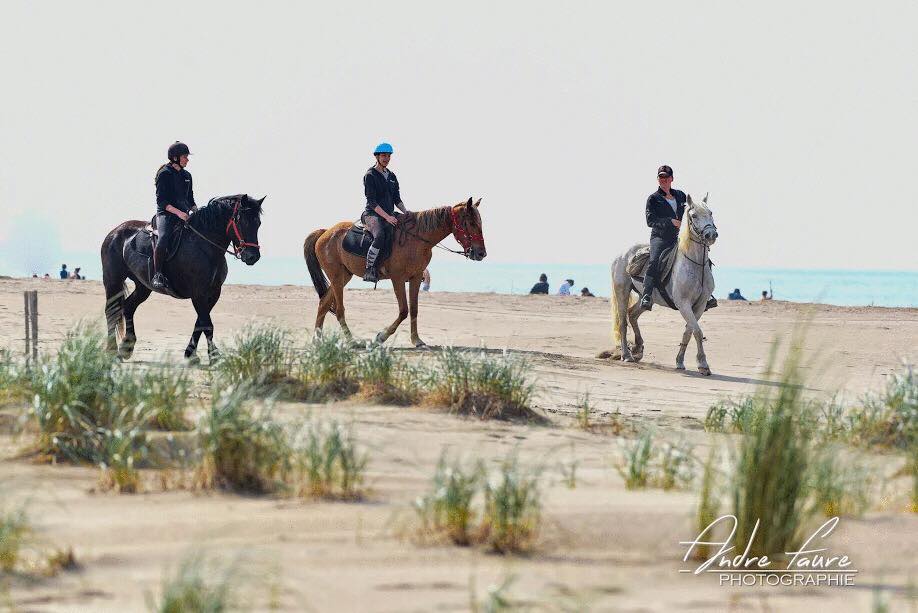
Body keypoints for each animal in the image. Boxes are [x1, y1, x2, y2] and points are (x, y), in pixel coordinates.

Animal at [102, 194, 264, 360]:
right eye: (242, 222)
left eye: (258, 223)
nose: (253, 257)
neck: (204, 247)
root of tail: (115, 232)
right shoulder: (198, 293)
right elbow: (207, 324)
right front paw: (213, 356)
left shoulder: (213, 292)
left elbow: (200, 323)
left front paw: (191, 354)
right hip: (113, 280)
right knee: (112, 311)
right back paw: (111, 350)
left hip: (143, 286)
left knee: (128, 307)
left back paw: (126, 347)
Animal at [304, 198, 488, 346]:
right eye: (471, 223)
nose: (481, 253)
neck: (416, 239)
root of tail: (325, 232)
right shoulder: (398, 279)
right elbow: (404, 310)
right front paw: (381, 337)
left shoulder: (415, 277)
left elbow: (414, 309)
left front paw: (416, 340)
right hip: (336, 277)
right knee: (339, 309)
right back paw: (351, 341)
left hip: (343, 276)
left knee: (324, 303)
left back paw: (317, 340)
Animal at [612, 196, 720, 376]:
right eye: (694, 215)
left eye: (711, 212)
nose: (710, 234)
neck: (694, 264)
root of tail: (622, 254)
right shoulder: (683, 304)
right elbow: (697, 332)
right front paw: (703, 364)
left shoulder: (700, 305)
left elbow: (688, 332)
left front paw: (680, 361)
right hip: (622, 291)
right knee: (622, 322)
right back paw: (627, 355)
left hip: (645, 297)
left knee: (632, 315)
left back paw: (638, 349)